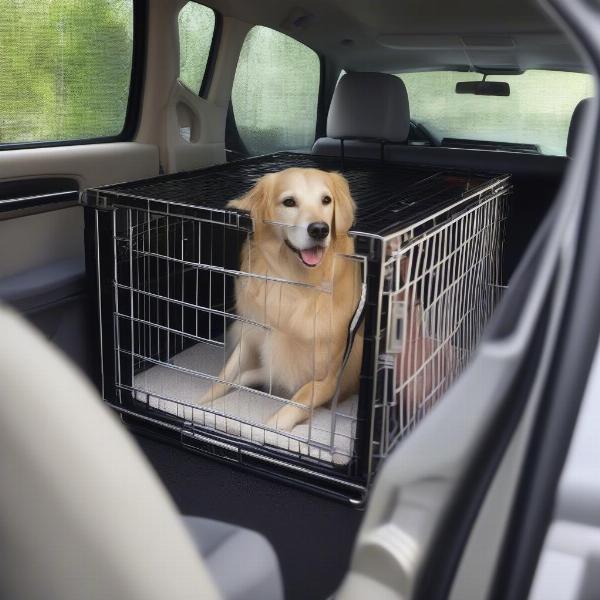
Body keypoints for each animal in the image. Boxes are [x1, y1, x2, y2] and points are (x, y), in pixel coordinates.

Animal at [199, 168, 364, 432]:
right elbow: (223, 378)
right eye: (289, 202)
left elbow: (290, 409)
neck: (295, 283)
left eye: (326, 200)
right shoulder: (252, 333)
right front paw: (200, 402)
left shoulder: (328, 375)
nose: (319, 229)